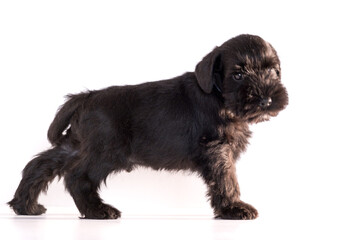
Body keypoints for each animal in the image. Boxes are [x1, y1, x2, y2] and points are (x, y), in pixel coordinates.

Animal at [8, 33, 288, 219]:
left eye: (274, 71)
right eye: (238, 74)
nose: (266, 100)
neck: (219, 97)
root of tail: (86, 96)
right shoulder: (218, 151)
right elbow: (226, 179)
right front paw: (234, 208)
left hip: (77, 144)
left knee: (41, 165)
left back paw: (25, 206)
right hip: (106, 153)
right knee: (77, 178)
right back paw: (98, 210)